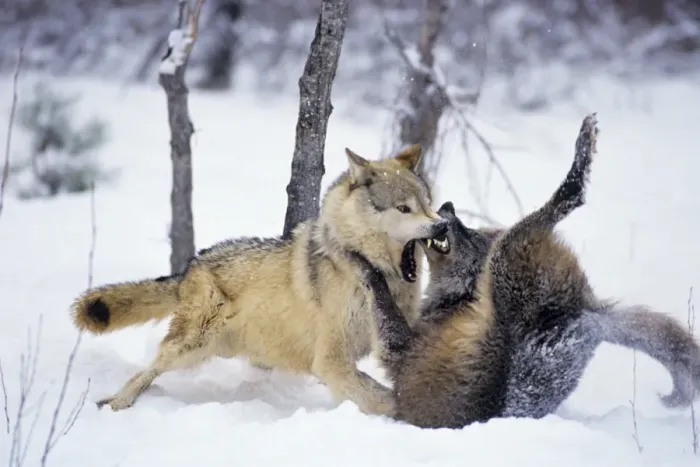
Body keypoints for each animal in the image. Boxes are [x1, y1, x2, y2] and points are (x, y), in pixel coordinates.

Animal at [70, 144, 449, 415]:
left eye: (428, 203)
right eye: (404, 208)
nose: (442, 225)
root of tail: (192, 264)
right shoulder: (331, 362)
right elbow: (380, 398)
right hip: (191, 347)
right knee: (145, 370)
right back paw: (117, 403)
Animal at [355, 114, 700, 428]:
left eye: (471, 234)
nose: (448, 206)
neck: (460, 300)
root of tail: (584, 318)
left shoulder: (401, 350)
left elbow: (381, 298)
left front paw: (363, 263)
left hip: (504, 255)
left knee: (569, 200)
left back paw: (581, 157)